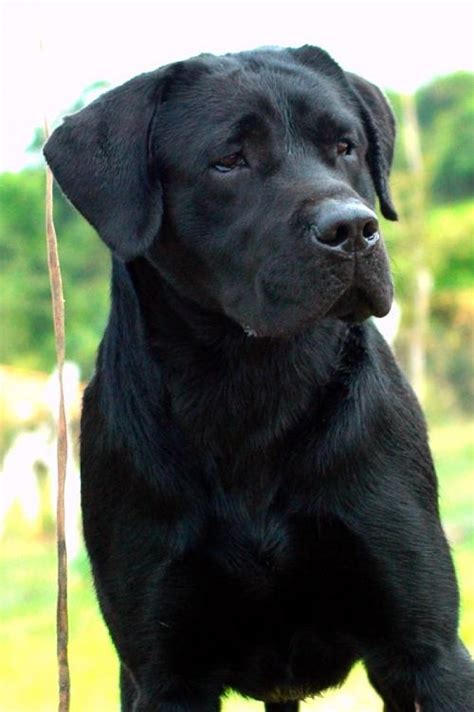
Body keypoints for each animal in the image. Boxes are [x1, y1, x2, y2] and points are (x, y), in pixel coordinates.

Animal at [42, 47, 472, 708]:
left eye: (345, 146)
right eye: (229, 160)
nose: (352, 229)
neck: (250, 387)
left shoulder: (426, 649)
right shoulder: (164, 671)